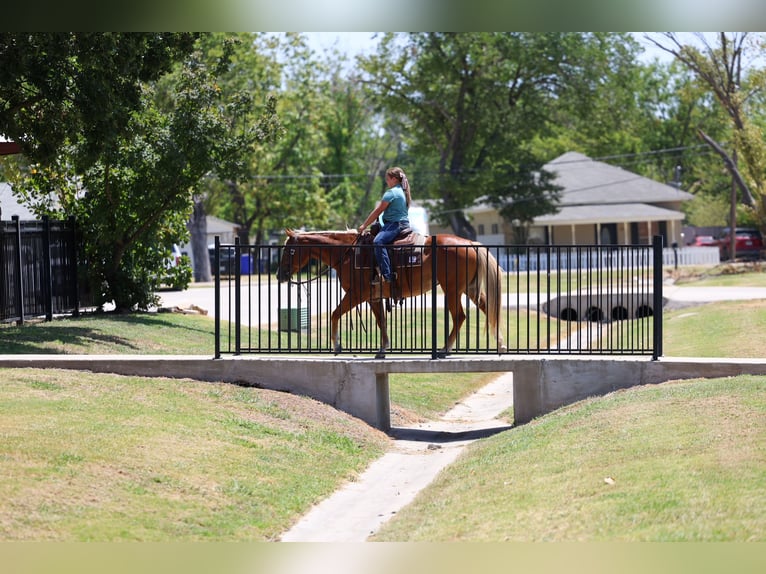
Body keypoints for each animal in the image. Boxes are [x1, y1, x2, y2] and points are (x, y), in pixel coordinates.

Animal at [276, 228, 506, 358]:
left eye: (288, 250)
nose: (280, 274)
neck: (348, 254)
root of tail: (472, 244)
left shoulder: (356, 294)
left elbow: (334, 313)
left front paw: (336, 345)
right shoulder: (373, 297)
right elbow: (381, 321)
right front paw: (383, 348)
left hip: (452, 290)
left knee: (459, 316)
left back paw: (445, 349)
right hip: (470, 289)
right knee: (488, 310)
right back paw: (501, 344)